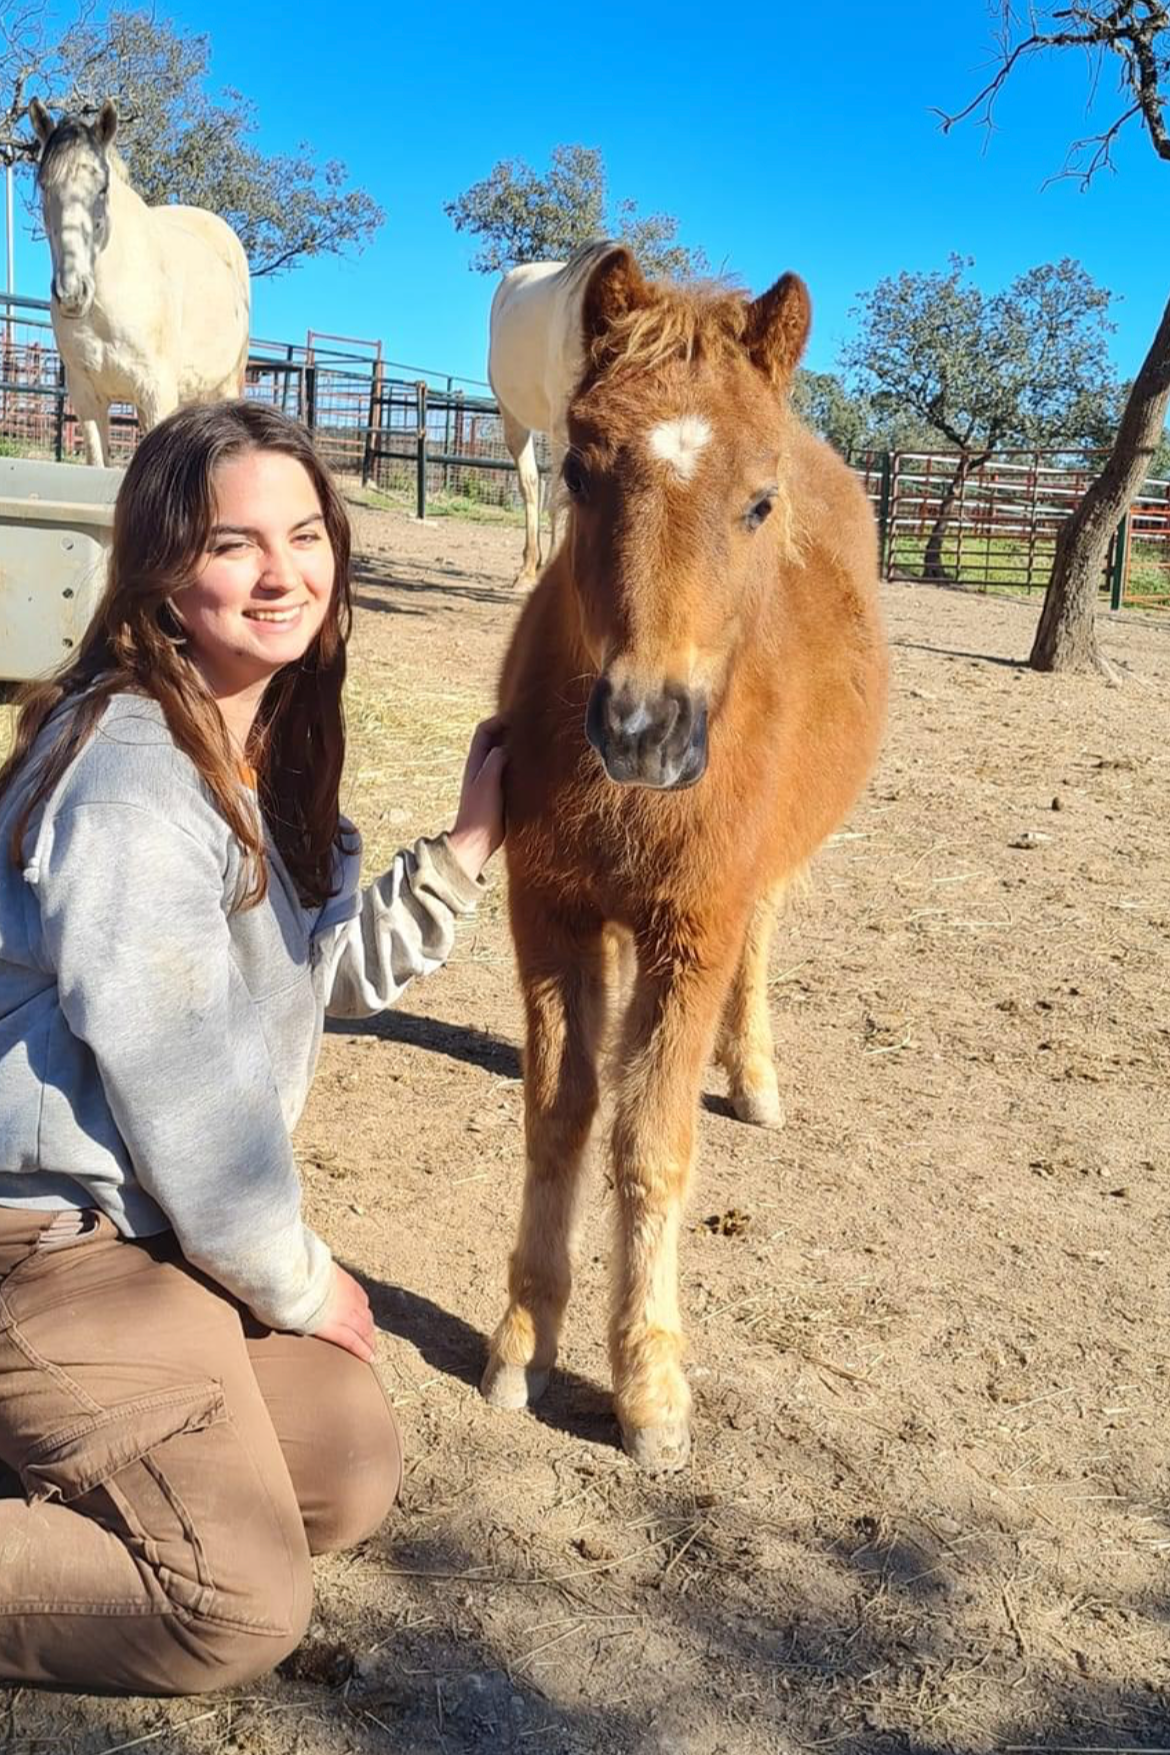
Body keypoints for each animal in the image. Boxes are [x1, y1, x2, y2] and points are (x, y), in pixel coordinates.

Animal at [28, 99, 250, 468]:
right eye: (44, 186)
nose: (72, 294)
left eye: (102, 188)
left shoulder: (155, 394)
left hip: (227, 385)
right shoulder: (87, 398)